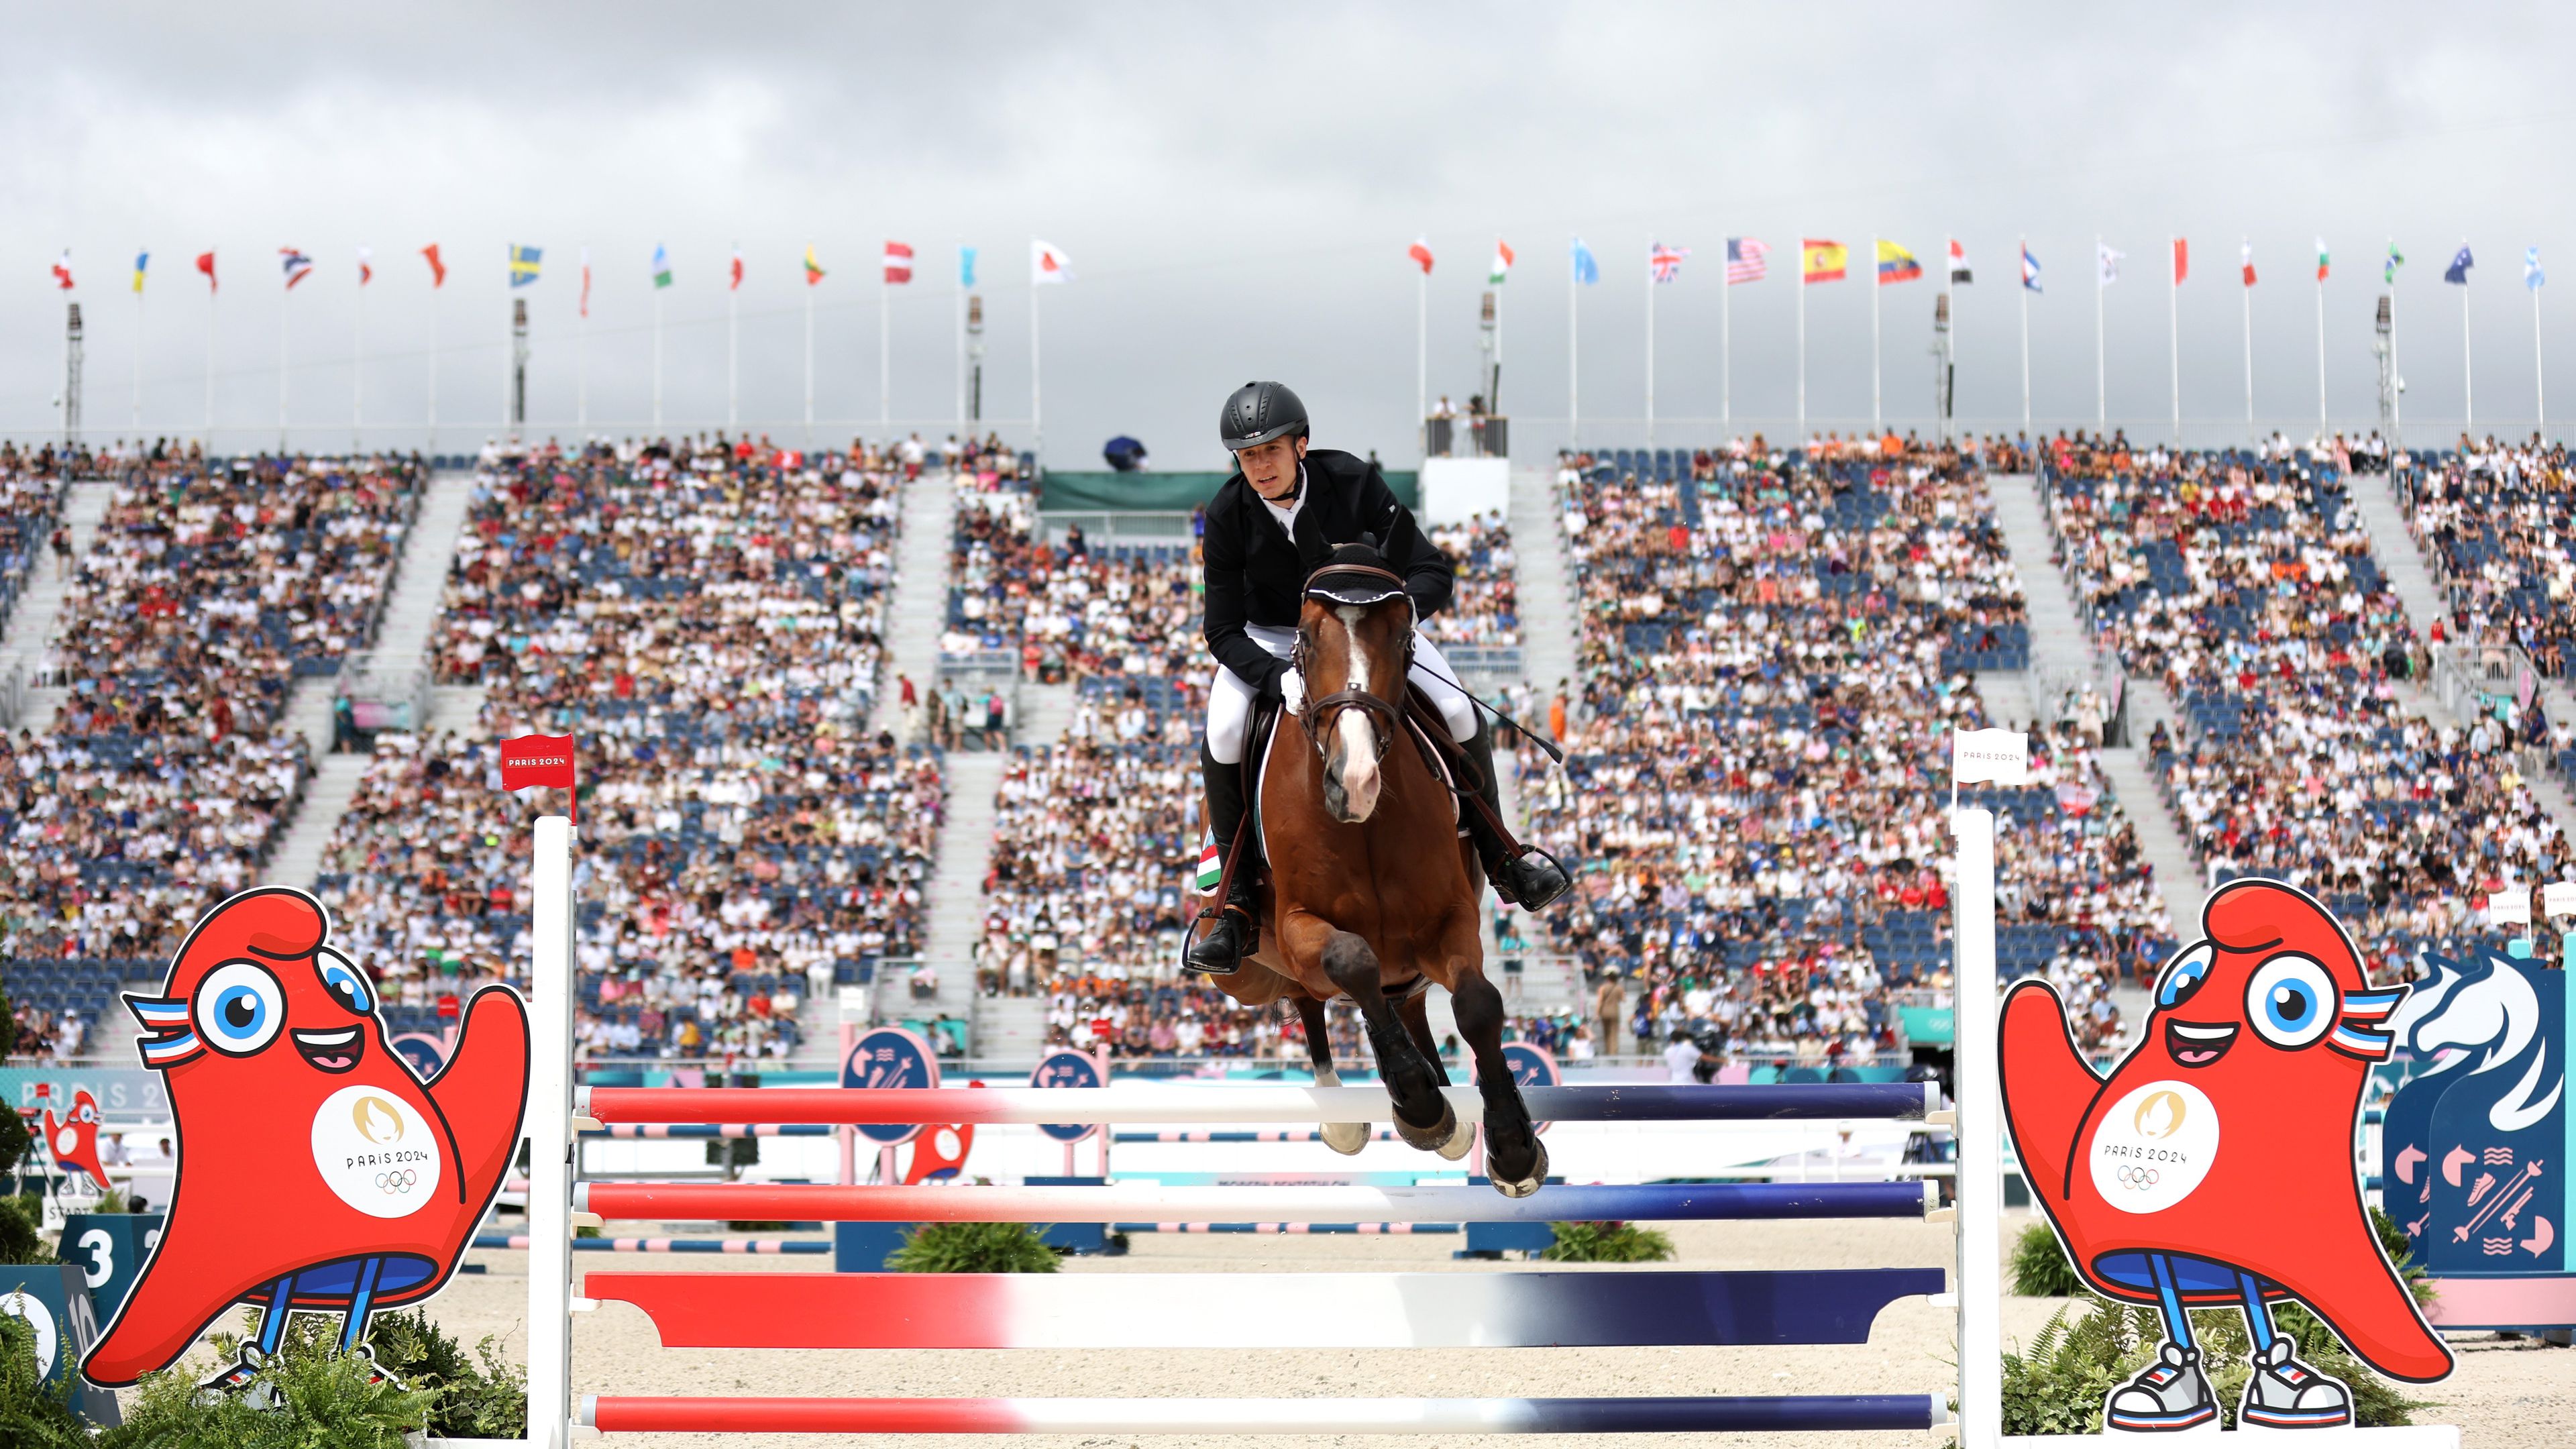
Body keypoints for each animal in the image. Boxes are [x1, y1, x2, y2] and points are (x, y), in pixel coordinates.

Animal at [1190, 546, 1535, 1191]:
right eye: (1304, 636)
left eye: (1403, 636)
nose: (1354, 781)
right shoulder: (1301, 925)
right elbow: (1350, 961)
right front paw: (1421, 1105)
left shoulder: (1449, 920)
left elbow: (1477, 1006)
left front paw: (1512, 1146)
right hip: (1245, 975)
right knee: (1312, 996)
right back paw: (1355, 1115)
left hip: (1406, 962)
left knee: (1399, 1001)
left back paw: (1447, 1117)